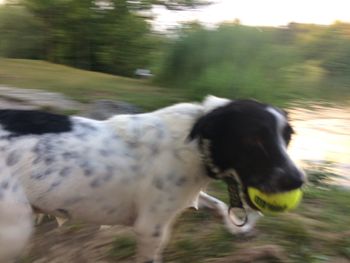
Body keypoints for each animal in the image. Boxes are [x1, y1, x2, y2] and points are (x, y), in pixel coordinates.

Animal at [0, 96, 304, 262]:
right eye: (253, 139)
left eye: (288, 136)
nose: (298, 180)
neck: (196, 143)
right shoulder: (151, 229)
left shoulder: (185, 198)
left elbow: (217, 204)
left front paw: (238, 227)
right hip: (17, 227)